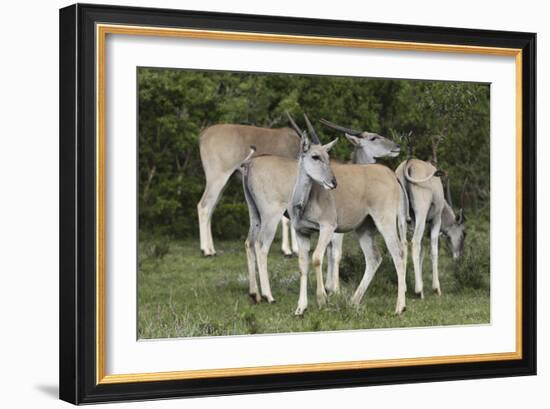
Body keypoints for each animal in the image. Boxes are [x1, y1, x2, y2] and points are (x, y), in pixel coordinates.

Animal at [243, 115, 410, 316]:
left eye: (328, 156)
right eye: (373, 138)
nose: (396, 146)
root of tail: (392, 175)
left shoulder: (329, 228)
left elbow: (318, 257)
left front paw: (324, 296)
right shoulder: (307, 232)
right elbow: (310, 261)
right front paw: (309, 303)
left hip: (379, 223)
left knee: (393, 253)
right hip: (271, 216)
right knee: (259, 245)